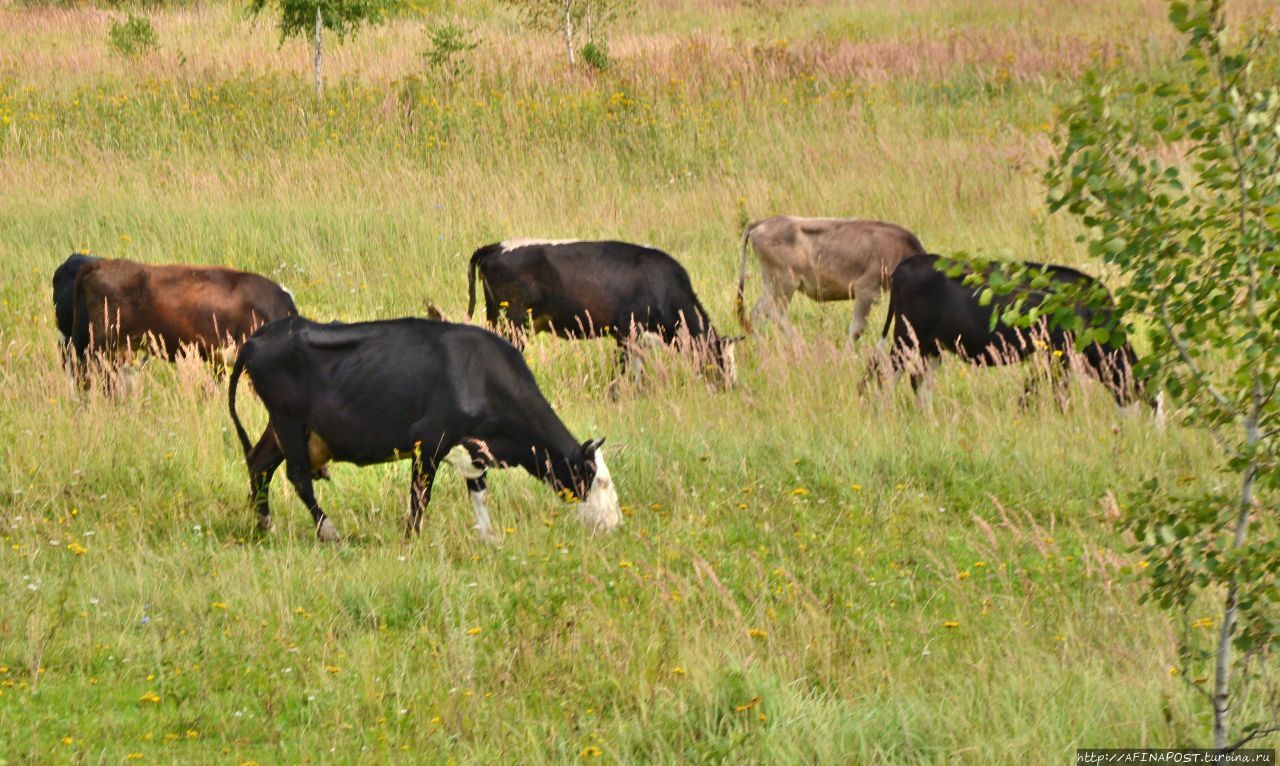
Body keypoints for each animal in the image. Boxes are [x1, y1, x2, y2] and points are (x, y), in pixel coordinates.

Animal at [226, 315, 624, 543]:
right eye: (600, 480)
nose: (616, 525)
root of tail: (258, 338)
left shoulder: (473, 450)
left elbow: (479, 495)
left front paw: (490, 538)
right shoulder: (429, 441)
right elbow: (420, 497)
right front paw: (412, 539)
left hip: (285, 428)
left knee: (259, 463)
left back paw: (266, 527)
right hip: (289, 421)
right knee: (297, 476)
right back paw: (328, 532)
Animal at [468, 238, 742, 389]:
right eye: (721, 360)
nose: (730, 388)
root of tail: (495, 247)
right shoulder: (626, 327)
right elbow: (621, 370)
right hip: (513, 321)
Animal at [737, 212, 926, 338]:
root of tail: (761, 223)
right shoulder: (866, 289)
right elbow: (857, 329)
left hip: (771, 284)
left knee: (758, 313)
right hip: (784, 283)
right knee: (775, 314)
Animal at [880, 253, 1141, 407]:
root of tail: (907, 262)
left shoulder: (1044, 353)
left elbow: (1031, 387)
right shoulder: (1058, 353)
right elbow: (1058, 392)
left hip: (931, 347)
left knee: (919, 382)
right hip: (906, 338)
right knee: (884, 375)